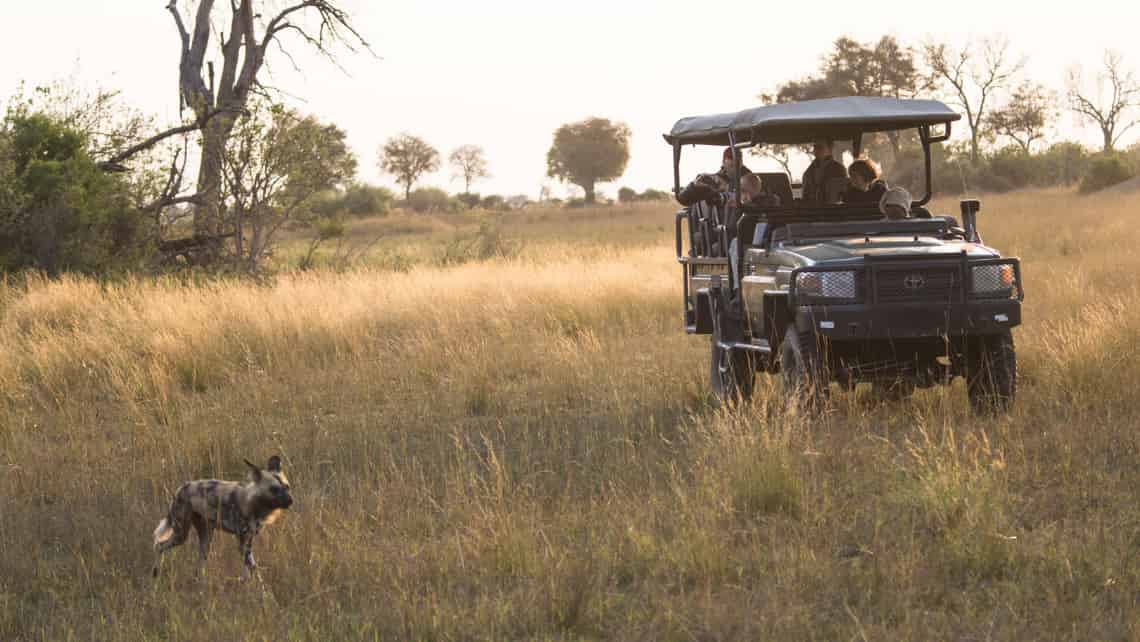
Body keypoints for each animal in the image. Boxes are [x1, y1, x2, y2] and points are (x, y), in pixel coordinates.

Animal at [151, 453, 294, 579]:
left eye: (287, 487)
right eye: (274, 489)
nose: (291, 501)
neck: (256, 504)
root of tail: (181, 488)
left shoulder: (247, 540)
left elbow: (246, 570)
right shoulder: (242, 541)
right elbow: (253, 568)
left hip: (205, 538)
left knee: (200, 563)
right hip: (181, 535)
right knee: (159, 546)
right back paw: (155, 574)